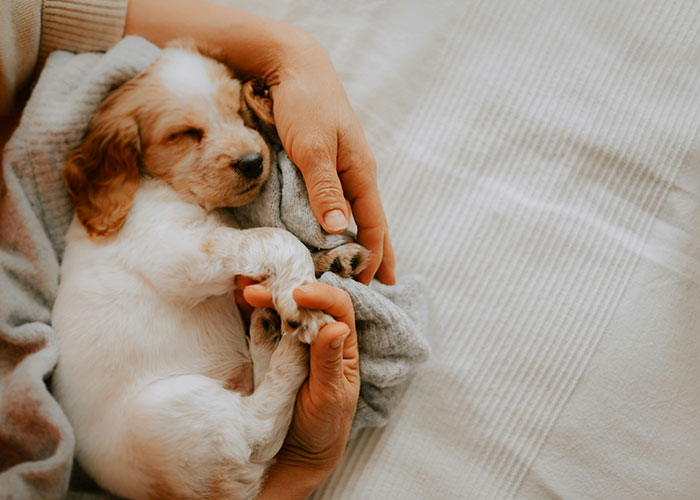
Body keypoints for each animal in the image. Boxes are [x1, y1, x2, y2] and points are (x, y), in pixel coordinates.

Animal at [52, 40, 370, 500]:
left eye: (238, 112)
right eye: (184, 134)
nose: (254, 162)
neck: (163, 186)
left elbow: (264, 240)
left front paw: (329, 261)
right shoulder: (181, 255)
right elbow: (273, 237)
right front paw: (301, 299)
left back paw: (267, 330)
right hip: (176, 409)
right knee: (257, 429)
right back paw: (291, 350)